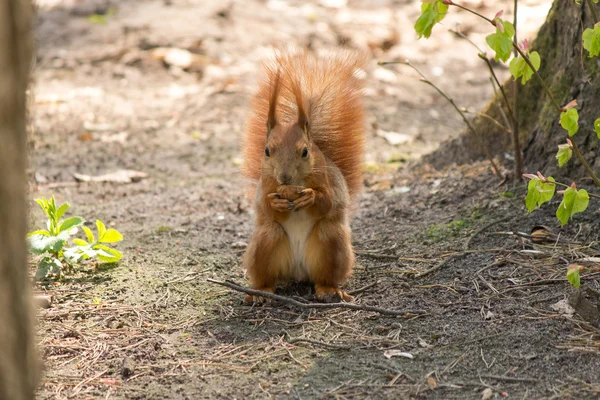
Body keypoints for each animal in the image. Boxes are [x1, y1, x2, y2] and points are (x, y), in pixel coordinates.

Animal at [240, 47, 366, 304]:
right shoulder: (266, 183)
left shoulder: (325, 180)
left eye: (305, 151)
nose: (284, 176)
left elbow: (328, 202)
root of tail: (298, 271)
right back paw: (261, 293)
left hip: (331, 243)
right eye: (266, 151)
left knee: (324, 276)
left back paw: (329, 290)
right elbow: (264, 205)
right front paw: (274, 202)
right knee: (267, 274)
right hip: (265, 243)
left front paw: (311, 198)